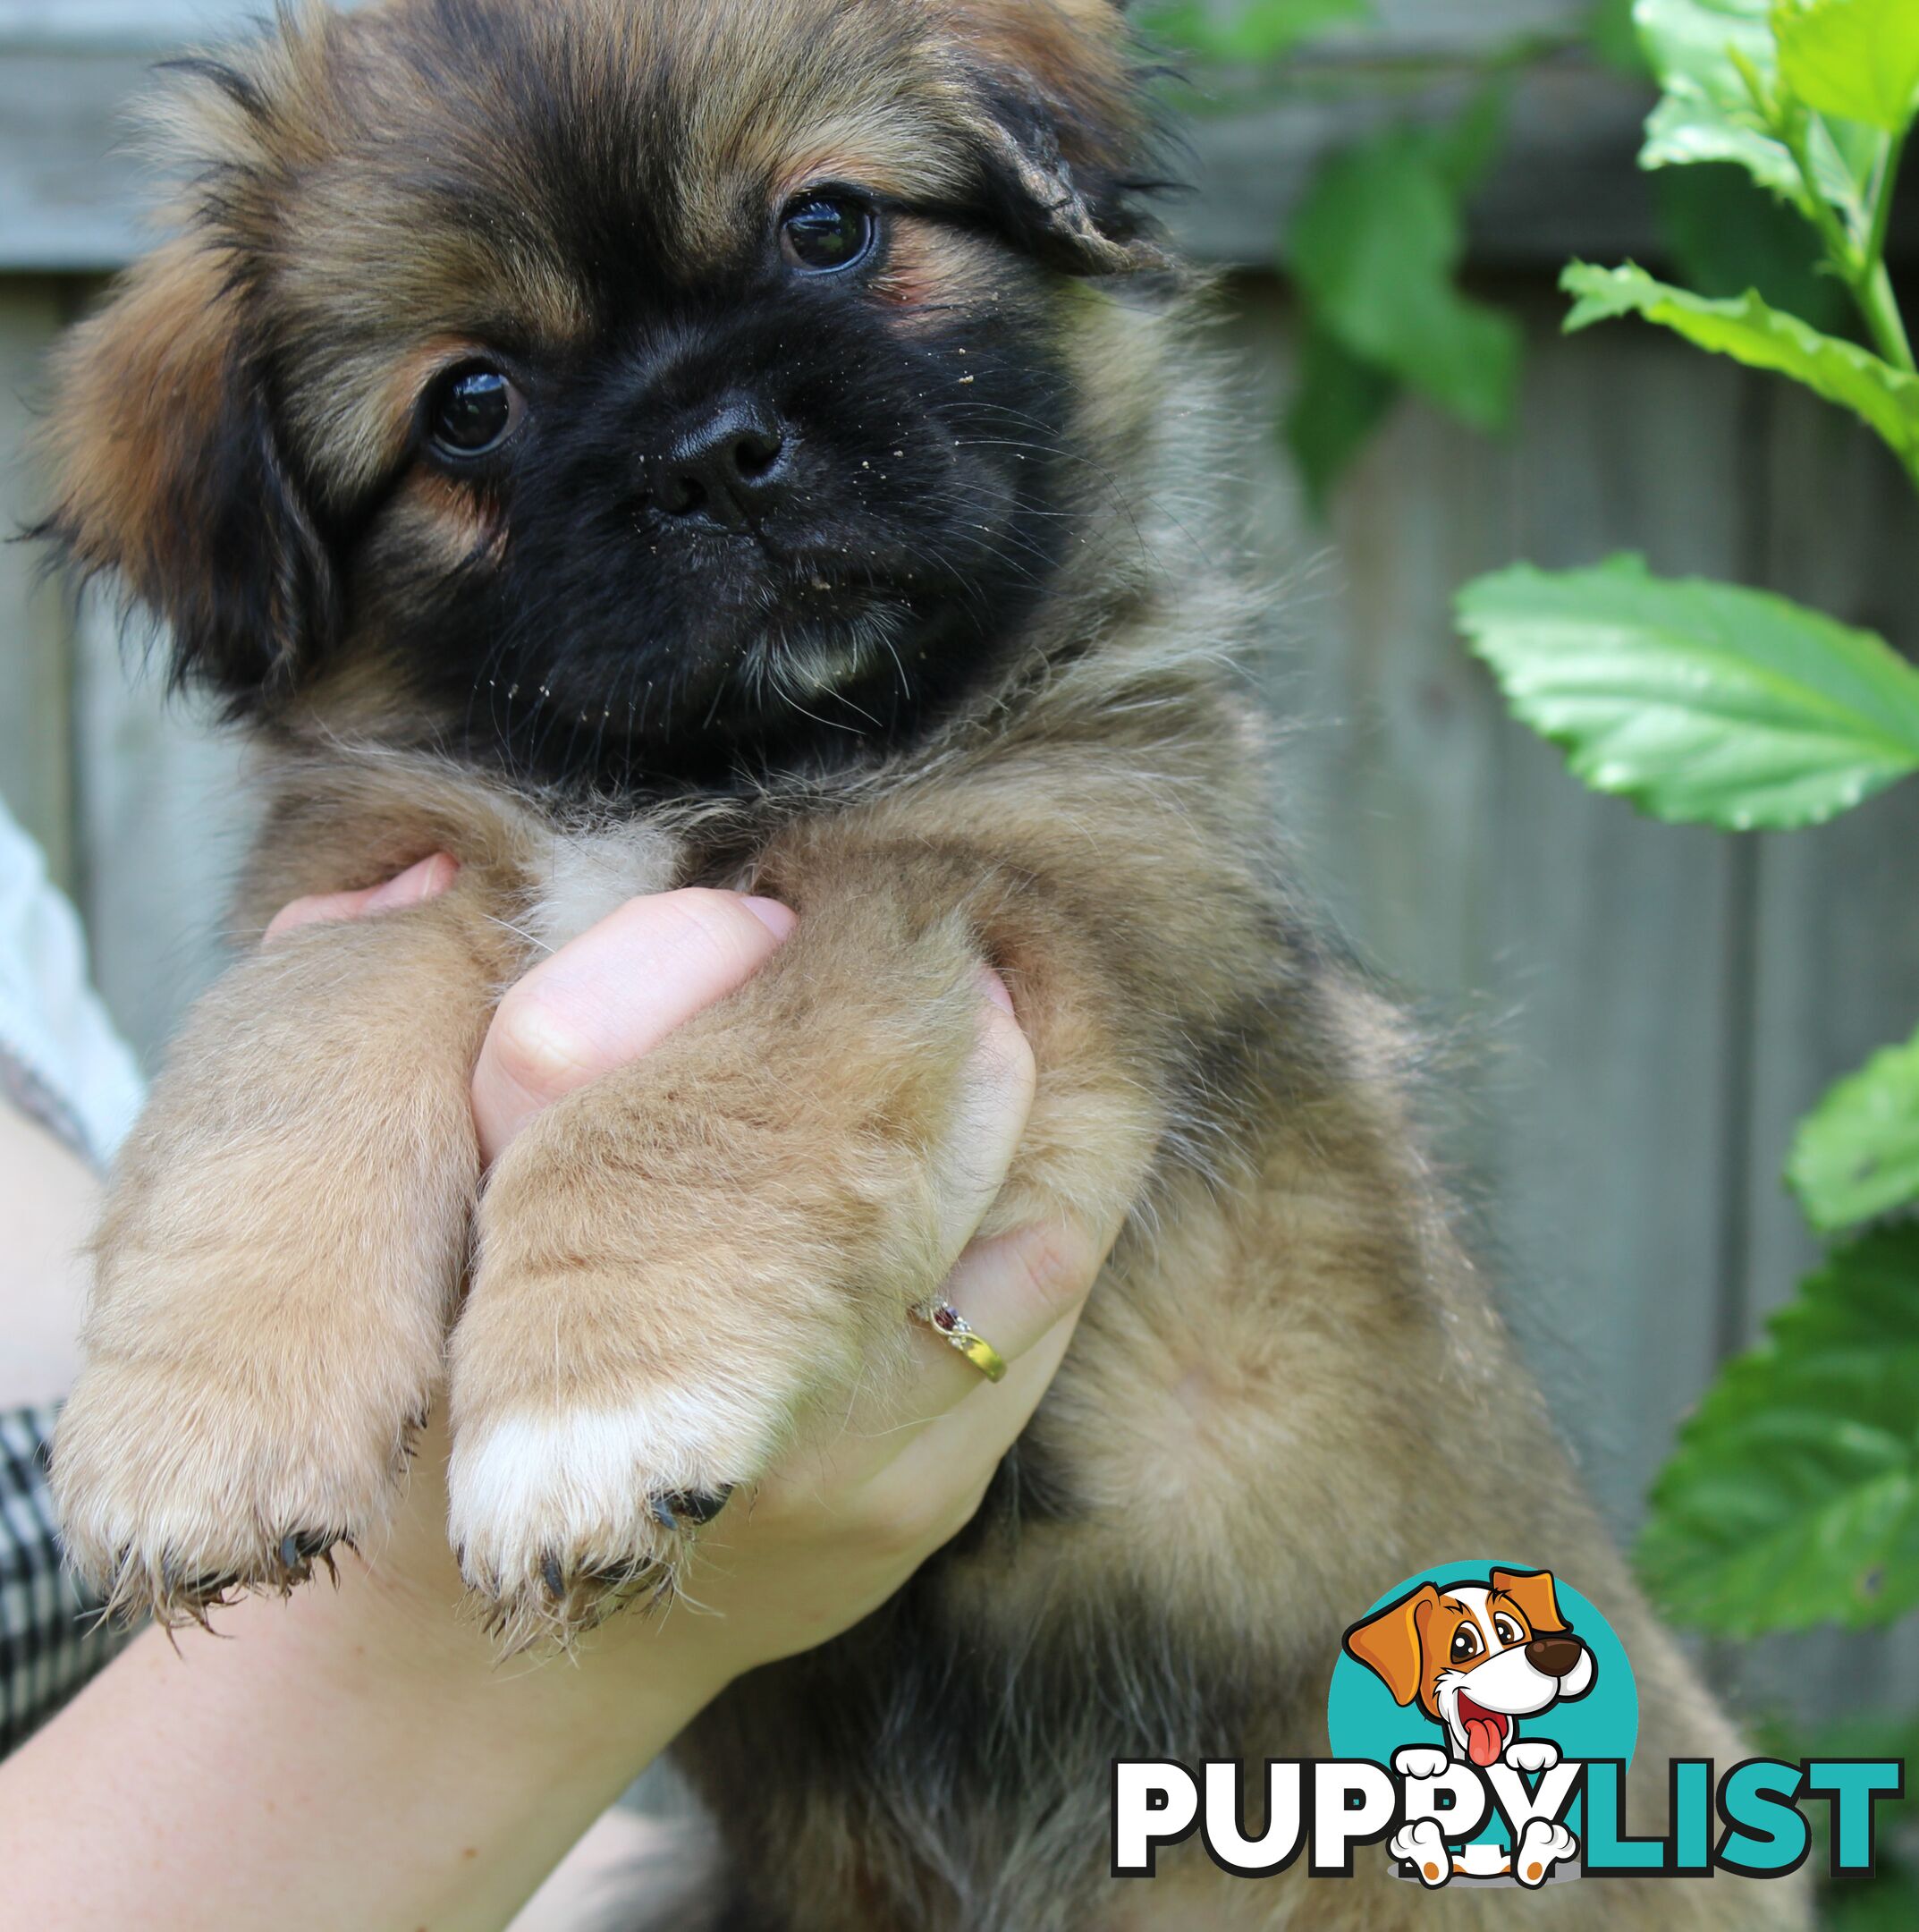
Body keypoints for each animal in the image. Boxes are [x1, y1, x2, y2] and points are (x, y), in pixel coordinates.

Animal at [40, 4, 1806, 1932]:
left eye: (827, 228)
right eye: (472, 404)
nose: (709, 448)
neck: (700, 772)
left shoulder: (970, 900)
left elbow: (698, 1109)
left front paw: (586, 1407)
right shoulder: (383, 876)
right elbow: (283, 1059)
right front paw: (198, 1428)